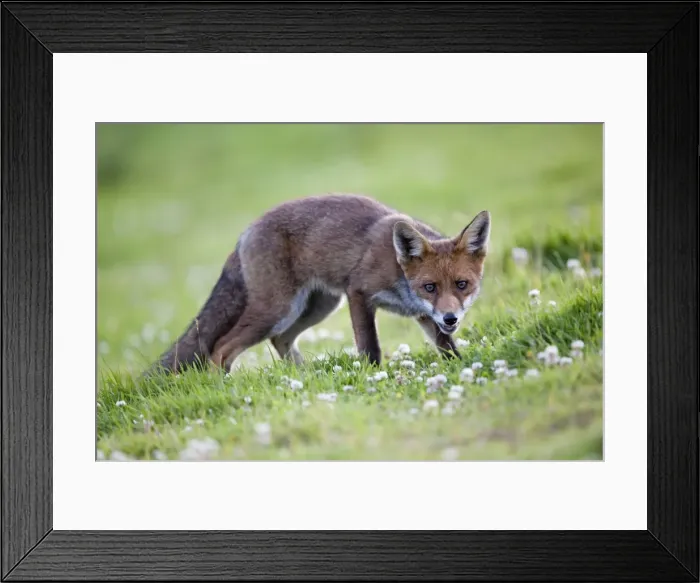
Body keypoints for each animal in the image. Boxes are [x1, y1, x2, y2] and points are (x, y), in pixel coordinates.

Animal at [149, 193, 490, 375]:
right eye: (430, 287)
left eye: (462, 284)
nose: (451, 318)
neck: (398, 270)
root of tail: (245, 232)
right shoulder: (359, 292)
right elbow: (370, 345)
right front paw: (372, 376)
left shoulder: (423, 315)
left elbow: (447, 347)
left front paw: (460, 368)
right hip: (277, 310)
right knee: (220, 348)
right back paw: (226, 386)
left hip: (317, 306)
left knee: (281, 340)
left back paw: (303, 377)